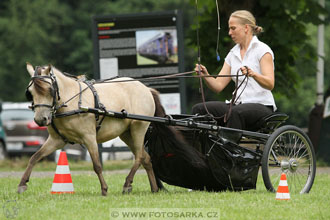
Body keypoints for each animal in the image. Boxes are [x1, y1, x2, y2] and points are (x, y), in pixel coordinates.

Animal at [17, 62, 164, 195]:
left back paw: (127, 184)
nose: (40, 119)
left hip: (139, 127)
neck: (71, 103)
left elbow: (97, 165)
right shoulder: (56, 140)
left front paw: (104, 189)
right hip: (126, 134)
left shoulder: (89, 138)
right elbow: (35, 157)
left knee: (139, 156)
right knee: (146, 158)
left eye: (50, 90)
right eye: (30, 93)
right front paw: (22, 184)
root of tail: (146, 89)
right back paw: (154, 188)